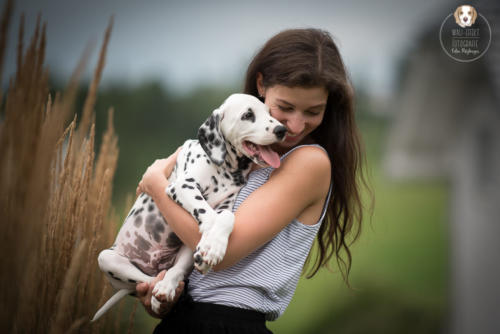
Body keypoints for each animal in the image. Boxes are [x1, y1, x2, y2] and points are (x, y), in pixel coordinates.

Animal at [90, 93, 286, 320]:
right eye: (248, 115)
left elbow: (226, 219)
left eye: (270, 112)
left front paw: (214, 245)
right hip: (107, 258)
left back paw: (169, 285)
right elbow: (208, 215)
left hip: (184, 250)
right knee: (147, 281)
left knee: (173, 273)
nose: (281, 130)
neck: (226, 170)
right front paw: (210, 246)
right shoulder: (182, 186)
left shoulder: (226, 205)